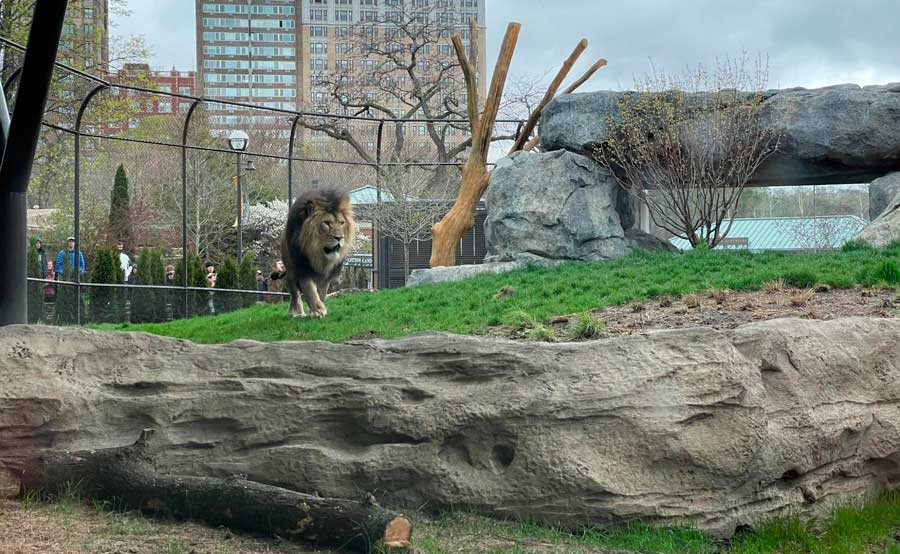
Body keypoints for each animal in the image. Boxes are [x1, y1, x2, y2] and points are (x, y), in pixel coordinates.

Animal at [277, 188, 355, 319]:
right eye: (327, 223)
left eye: (342, 223)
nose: (339, 238)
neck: (319, 256)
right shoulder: (304, 270)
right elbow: (310, 291)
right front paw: (318, 311)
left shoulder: (327, 275)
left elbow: (321, 293)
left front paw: (316, 309)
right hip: (291, 270)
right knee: (295, 294)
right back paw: (296, 313)